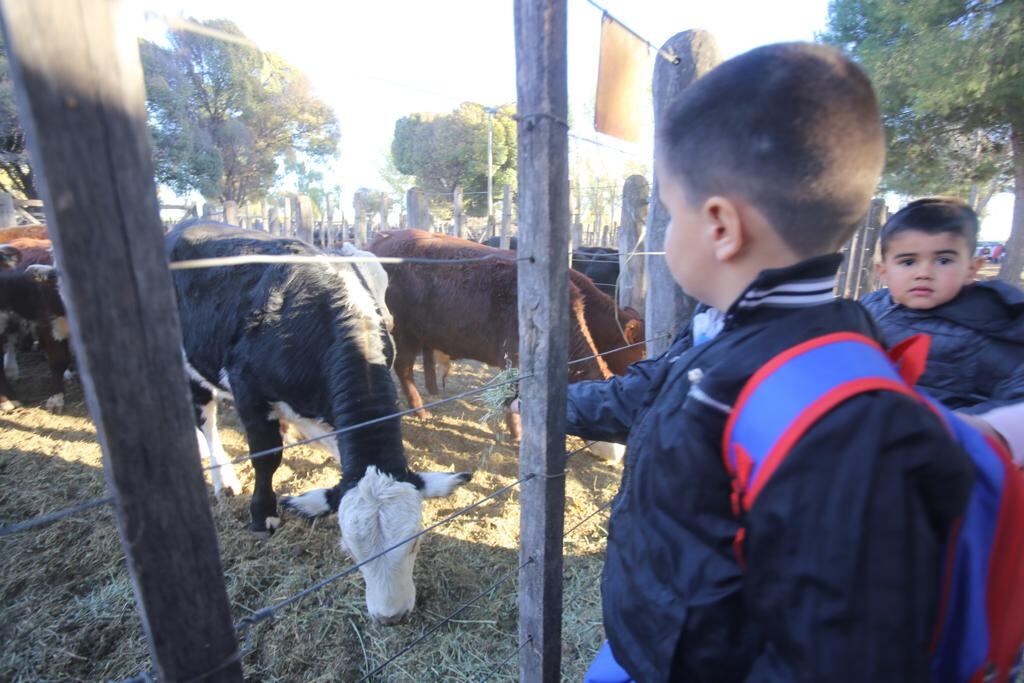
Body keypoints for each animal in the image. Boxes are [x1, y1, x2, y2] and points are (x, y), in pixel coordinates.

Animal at [168, 223, 471, 626]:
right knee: (207, 419)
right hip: (191, 362)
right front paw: (263, 516)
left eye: (416, 542)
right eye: (353, 552)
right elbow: (266, 458)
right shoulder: (248, 389)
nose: (392, 615)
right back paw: (224, 479)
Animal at [368, 229, 606, 432]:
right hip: (402, 333)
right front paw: (517, 434)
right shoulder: (514, 361)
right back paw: (420, 411)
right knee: (403, 368)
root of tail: (385, 236)